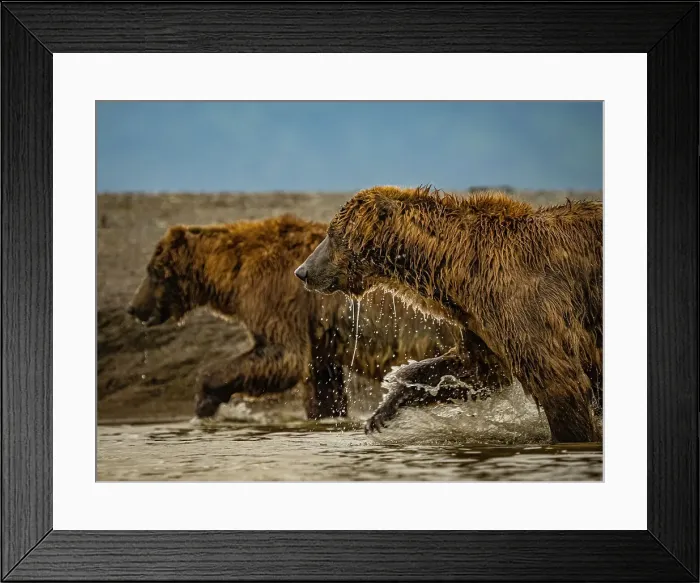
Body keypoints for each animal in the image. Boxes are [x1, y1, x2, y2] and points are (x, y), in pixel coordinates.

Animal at [127, 213, 511, 421]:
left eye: (153, 272)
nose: (134, 307)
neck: (233, 276)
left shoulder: (278, 300)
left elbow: (283, 357)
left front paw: (205, 399)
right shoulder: (321, 333)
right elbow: (321, 381)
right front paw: (325, 415)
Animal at [294, 186, 603, 443]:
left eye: (332, 235)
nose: (302, 271)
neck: (458, 270)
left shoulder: (525, 300)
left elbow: (557, 378)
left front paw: (574, 437)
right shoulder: (481, 322)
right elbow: (478, 370)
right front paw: (382, 412)